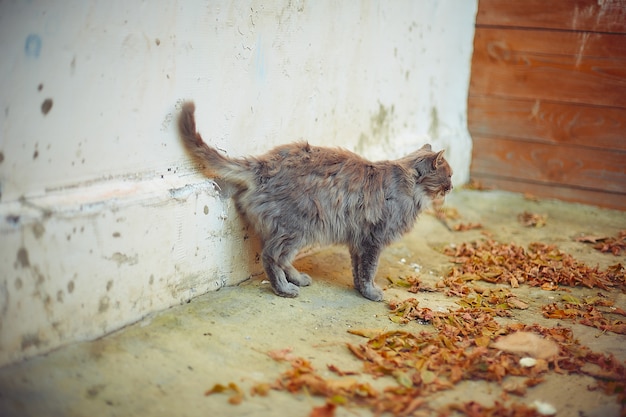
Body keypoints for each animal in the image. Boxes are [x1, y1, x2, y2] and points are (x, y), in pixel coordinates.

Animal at [176, 102, 448, 300]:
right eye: (449, 176)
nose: (451, 187)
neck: (406, 186)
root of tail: (263, 164)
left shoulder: (359, 241)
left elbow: (358, 270)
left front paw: (360, 290)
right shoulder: (373, 240)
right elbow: (369, 270)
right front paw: (371, 293)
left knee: (282, 258)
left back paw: (297, 278)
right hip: (299, 228)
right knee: (271, 256)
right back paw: (285, 289)